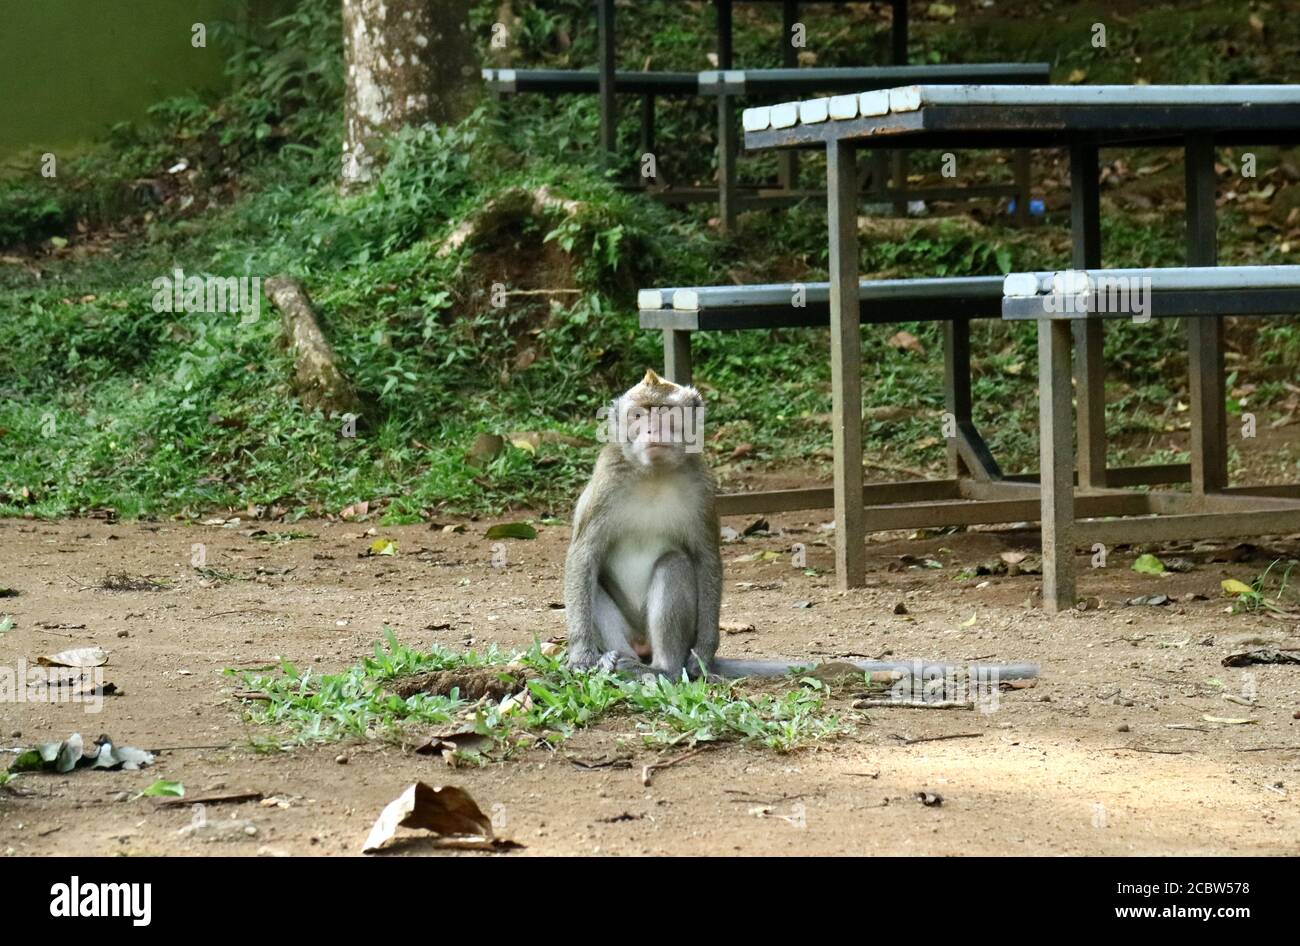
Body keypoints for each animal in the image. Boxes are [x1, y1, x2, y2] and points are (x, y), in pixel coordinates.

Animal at [564, 369, 1040, 680]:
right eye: (639, 415)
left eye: (667, 413)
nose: (653, 432)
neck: (655, 474)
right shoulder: (607, 482)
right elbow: (583, 556)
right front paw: (582, 655)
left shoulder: (701, 486)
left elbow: (705, 559)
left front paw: (703, 653)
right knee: (598, 582)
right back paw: (617, 662)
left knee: (673, 564)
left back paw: (665, 667)